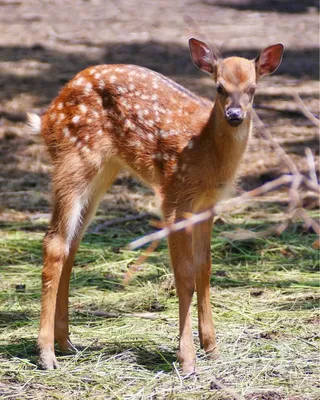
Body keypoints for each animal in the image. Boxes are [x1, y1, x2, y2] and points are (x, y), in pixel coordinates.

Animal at [26, 38, 284, 376]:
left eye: (253, 88)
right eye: (219, 87)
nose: (235, 114)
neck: (206, 152)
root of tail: (47, 116)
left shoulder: (208, 204)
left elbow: (204, 268)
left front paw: (212, 348)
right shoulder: (174, 196)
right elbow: (184, 275)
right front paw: (187, 359)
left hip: (104, 170)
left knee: (72, 243)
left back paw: (67, 343)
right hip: (73, 159)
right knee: (55, 243)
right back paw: (46, 354)